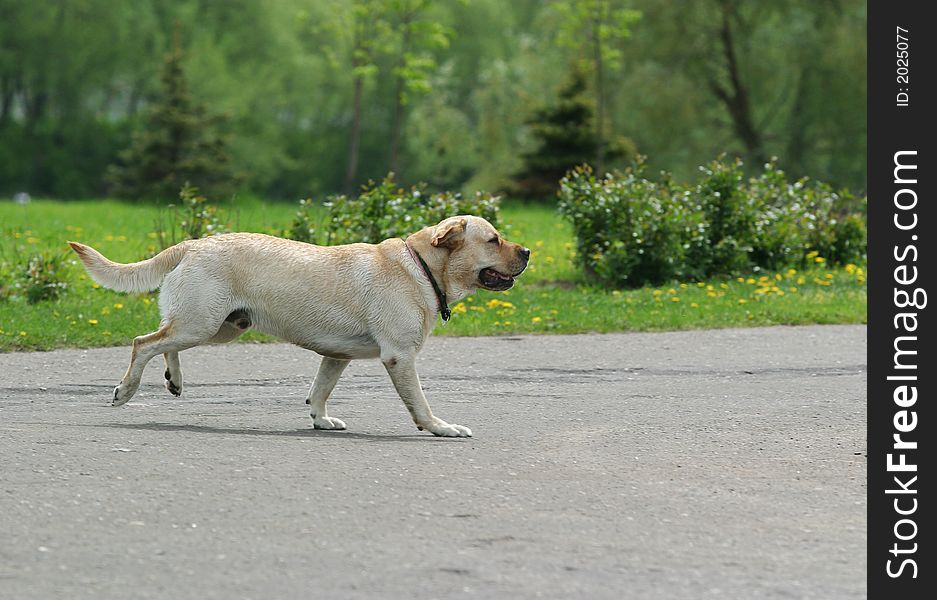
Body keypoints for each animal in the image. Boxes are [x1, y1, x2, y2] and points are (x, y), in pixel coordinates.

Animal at [69, 216, 532, 436]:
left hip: (219, 326)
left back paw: (175, 381)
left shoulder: (336, 356)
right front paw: (440, 428)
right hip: (202, 323)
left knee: (165, 341)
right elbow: (419, 403)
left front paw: (320, 420)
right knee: (144, 342)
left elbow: (319, 391)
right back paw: (126, 390)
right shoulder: (400, 358)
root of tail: (195, 244)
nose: (528, 252)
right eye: (493, 240)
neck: (421, 267)